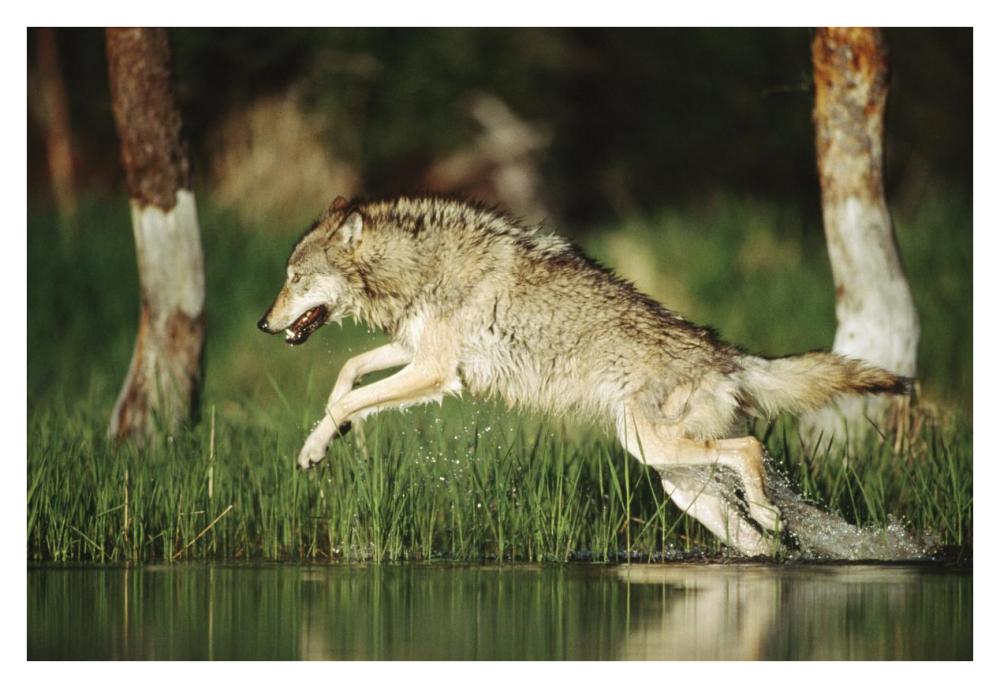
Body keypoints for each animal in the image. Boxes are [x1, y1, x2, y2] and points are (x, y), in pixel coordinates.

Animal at [258, 195, 911, 556]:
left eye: (294, 278)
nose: (264, 324)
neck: (418, 267)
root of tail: (725, 356)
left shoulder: (436, 371)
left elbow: (347, 398)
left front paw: (321, 442)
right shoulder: (418, 354)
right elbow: (348, 373)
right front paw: (325, 440)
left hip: (655, 449)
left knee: (750, 450)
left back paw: (770, 509)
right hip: (677, 479)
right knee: (756, 538)